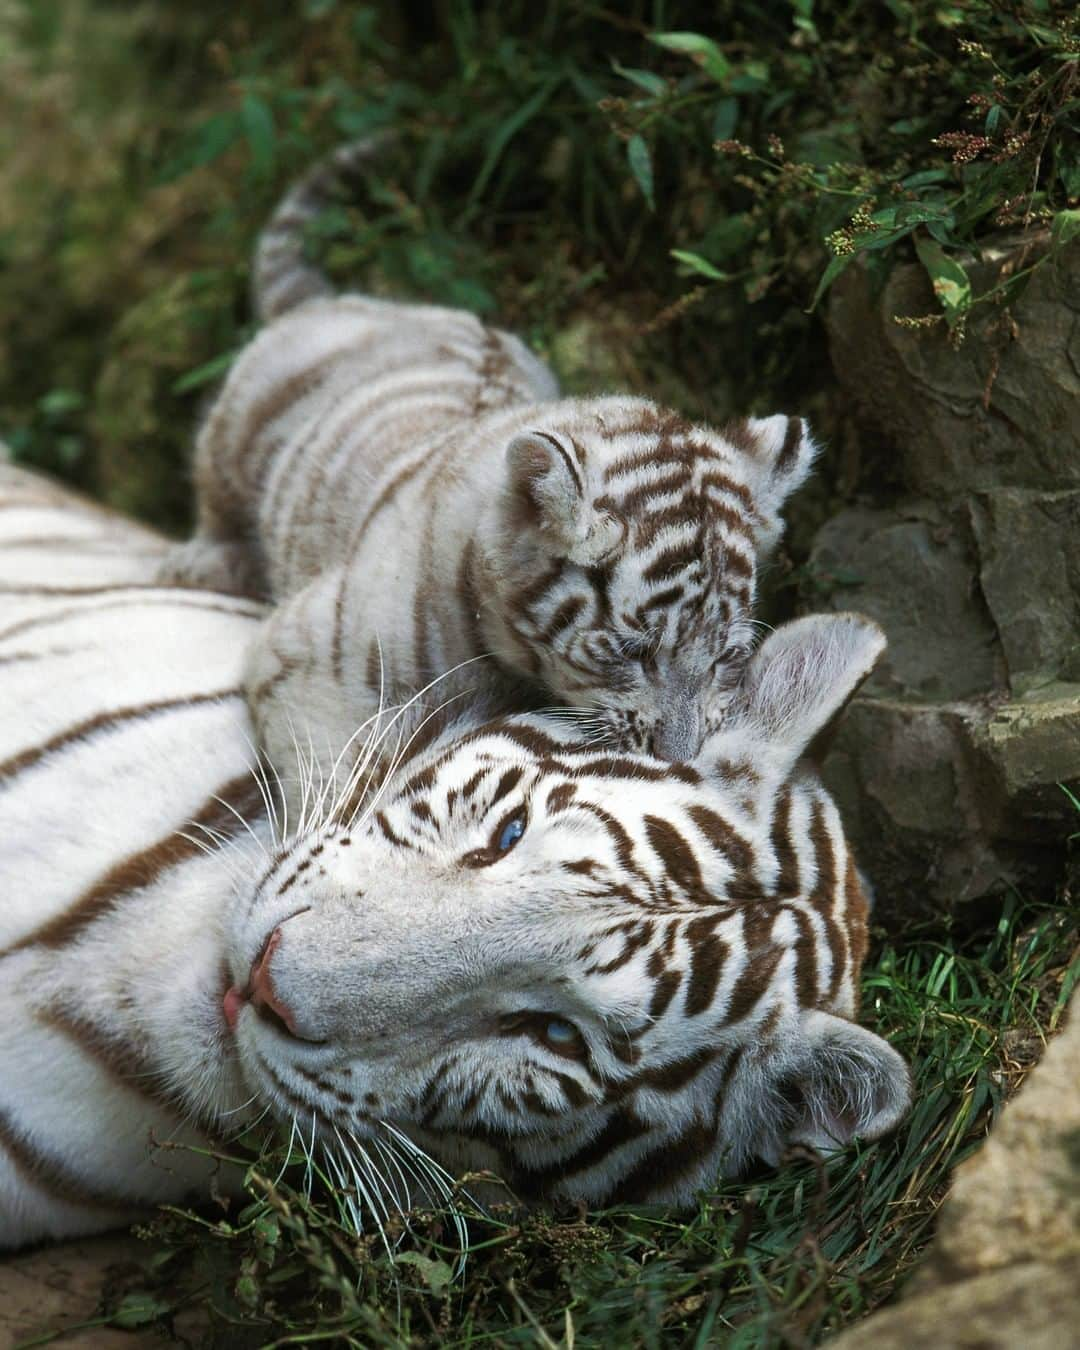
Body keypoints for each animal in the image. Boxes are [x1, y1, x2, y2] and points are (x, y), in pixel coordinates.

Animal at [157, 141, 820, 804]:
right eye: (634, 652)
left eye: (726, 658)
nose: (677, 757)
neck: (507, 656)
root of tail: (348, 301)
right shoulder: (302, 663)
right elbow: (333, 775)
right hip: (236, 422)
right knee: (216, 491)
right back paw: (201, 562)